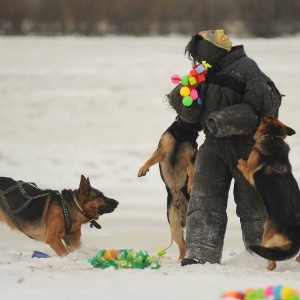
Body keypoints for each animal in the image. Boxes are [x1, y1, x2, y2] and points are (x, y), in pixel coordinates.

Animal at [137, 117, 198, 260]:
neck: (184, 130)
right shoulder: (162, 149)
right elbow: (150, 159)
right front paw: (142, 168)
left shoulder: (190, 158)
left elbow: (192, 172)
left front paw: (190, 184)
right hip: (174, 227)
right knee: (182, 245)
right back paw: (180, 259)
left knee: (186, 244)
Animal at [237, 113, 300, 270]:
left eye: (266, 117)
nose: (260, 112)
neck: (273, 137)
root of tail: (295, 233)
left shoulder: (250, 172)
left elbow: (245, 167)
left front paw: (240, 163)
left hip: (265, 236)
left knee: (272, 260)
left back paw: (267, 268)